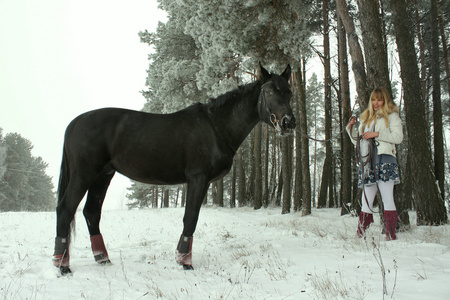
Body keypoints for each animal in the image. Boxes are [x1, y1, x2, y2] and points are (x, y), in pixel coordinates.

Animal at [53, 63, 296, 274]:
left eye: (289, 92)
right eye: (269, 91)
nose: (288, 122)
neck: (215, 126)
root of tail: (74, 123)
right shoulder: (197, 179)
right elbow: (190, 218)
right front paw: (185, 261)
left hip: (103, 175)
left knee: (91, 212)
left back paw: (102, 259)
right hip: (84, 174)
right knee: (65, 209)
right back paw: (63, 266)